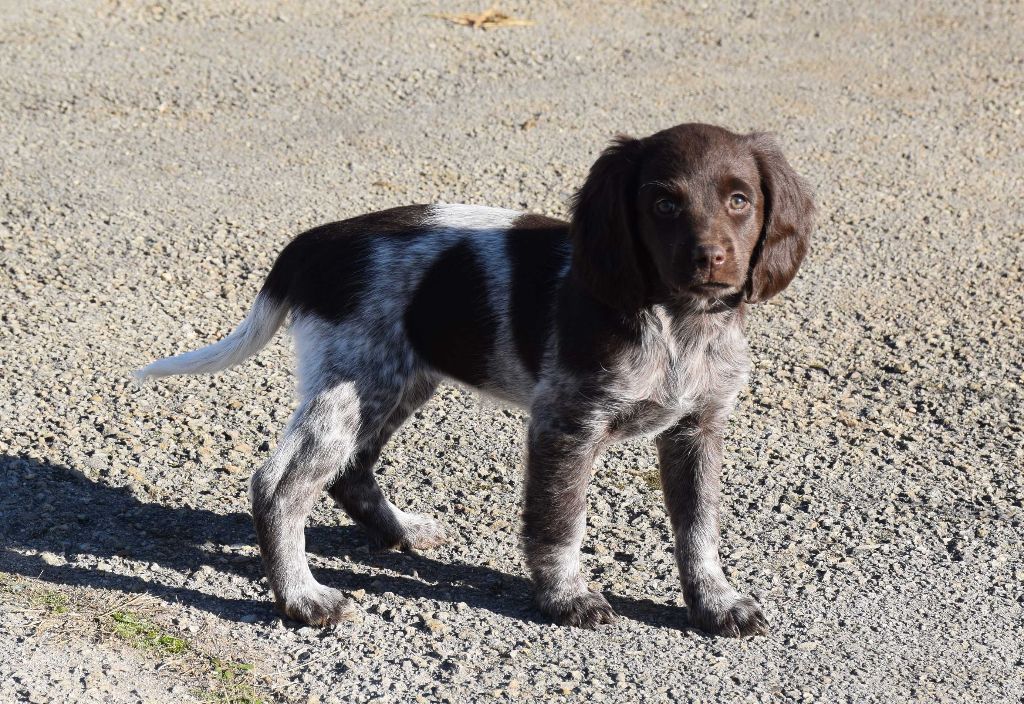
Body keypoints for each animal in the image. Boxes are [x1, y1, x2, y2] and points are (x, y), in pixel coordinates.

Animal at [134, 122, 815, 638]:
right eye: (663, 203)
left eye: (740, 199)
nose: (710, 259)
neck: (679, 322)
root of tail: (313, 243)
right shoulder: (566, 423)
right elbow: (558, 521)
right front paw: (566, 597)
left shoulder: (697, 429)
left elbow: (699, 528)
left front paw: (715, 602)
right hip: (355, 383)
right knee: (279, 485)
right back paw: (304, 599)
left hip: (395, 380)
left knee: (350, 471)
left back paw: (398, 532)